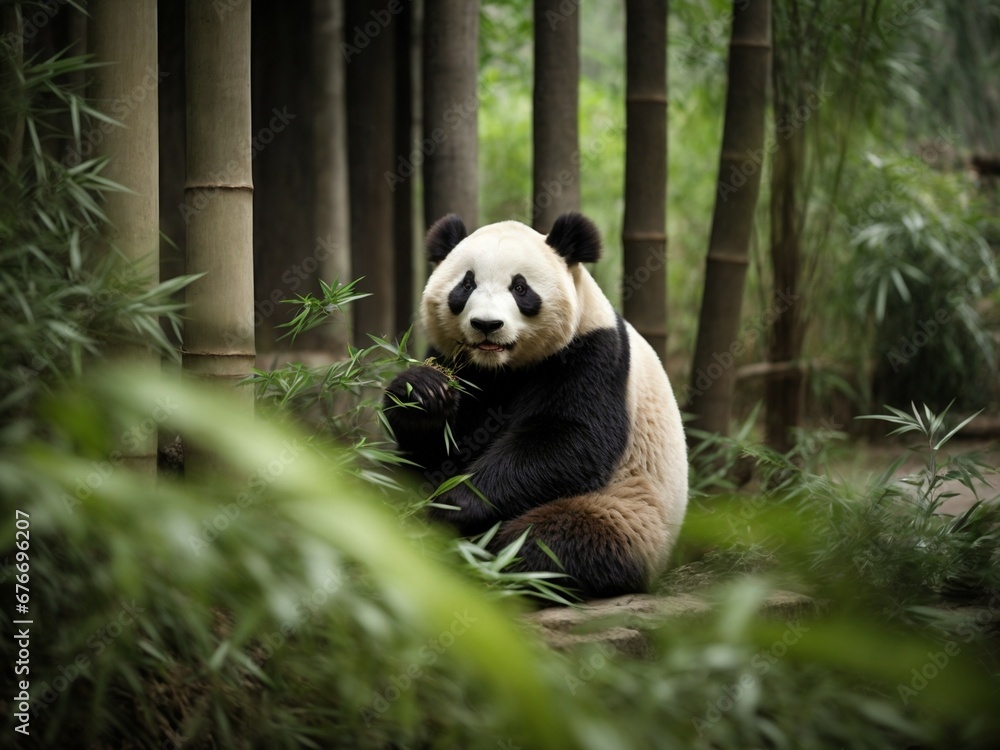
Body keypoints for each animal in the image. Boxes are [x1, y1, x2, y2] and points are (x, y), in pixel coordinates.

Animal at [384, 212, 688, 599]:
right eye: (465, 285)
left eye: (520, 288)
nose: (486, 324)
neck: (501, 367)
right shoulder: (458, 363)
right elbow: (434, 450)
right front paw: (423, 392)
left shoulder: (593, 354)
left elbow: (570, 439)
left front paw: (454, 503)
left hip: (625, 513)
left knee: (556, 543)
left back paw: (485, 567)